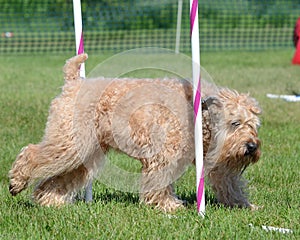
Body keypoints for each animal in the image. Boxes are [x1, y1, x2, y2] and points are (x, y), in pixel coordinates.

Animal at [7, 54, 260, 212]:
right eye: (235, 123)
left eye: (254, 125)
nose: (252, 147)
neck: (198, 113)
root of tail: (72, 83)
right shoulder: (164, 156)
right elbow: (160, 182)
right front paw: (168, 206)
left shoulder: (219, 160)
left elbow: (230, 184)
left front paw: (245, 206)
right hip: (68, 143)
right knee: (32, 153)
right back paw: (17, 182)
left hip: (84, 154)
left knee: (57, 179)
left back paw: (51, 201)